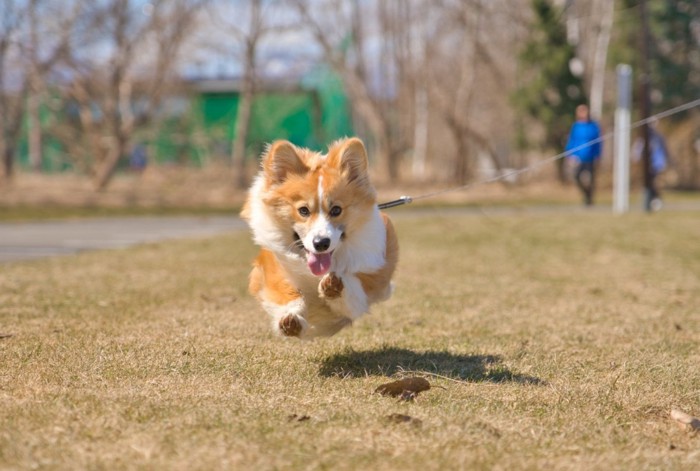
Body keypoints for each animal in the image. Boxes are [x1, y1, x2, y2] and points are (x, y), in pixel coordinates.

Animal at [241, 136, 396, 340]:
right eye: (303, 210)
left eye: (336, 210)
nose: (321, 243)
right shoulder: (274, 266)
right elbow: (286, 291)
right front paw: (291, 320)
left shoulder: (369, 276)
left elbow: (354, 289)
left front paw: (334, 285)